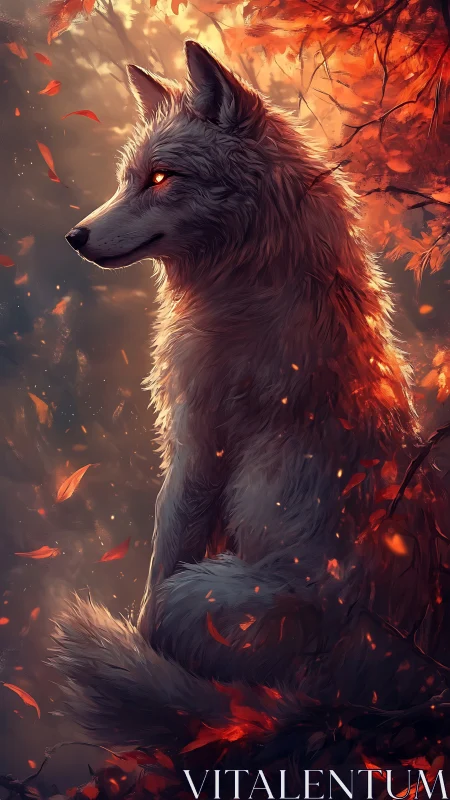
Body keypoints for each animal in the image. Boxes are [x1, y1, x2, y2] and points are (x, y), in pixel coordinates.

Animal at [56, 42, 450, 764]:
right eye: (128, 180)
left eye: (161, 178)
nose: (76, 236)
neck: (262, 269)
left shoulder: (196, 448)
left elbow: (159, 573)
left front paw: (142, 671)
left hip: (204, 597)